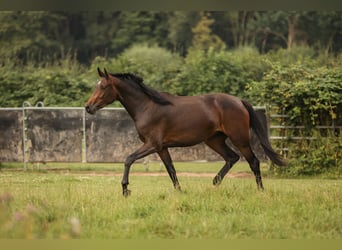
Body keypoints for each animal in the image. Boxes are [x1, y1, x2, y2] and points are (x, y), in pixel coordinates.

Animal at [85, 68, 286, 195]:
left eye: (103, 86)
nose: (88, 107)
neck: (147, 106)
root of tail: (239, 101)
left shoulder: (152, 144)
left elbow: (128, 159)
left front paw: (125, 189)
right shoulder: (161, 148)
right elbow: (171, 169)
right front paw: (180, 191)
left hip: (240, 139)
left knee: (253, 162)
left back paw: (260, 191)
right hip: (214, 140)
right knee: (232, 158)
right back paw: (214, 182)